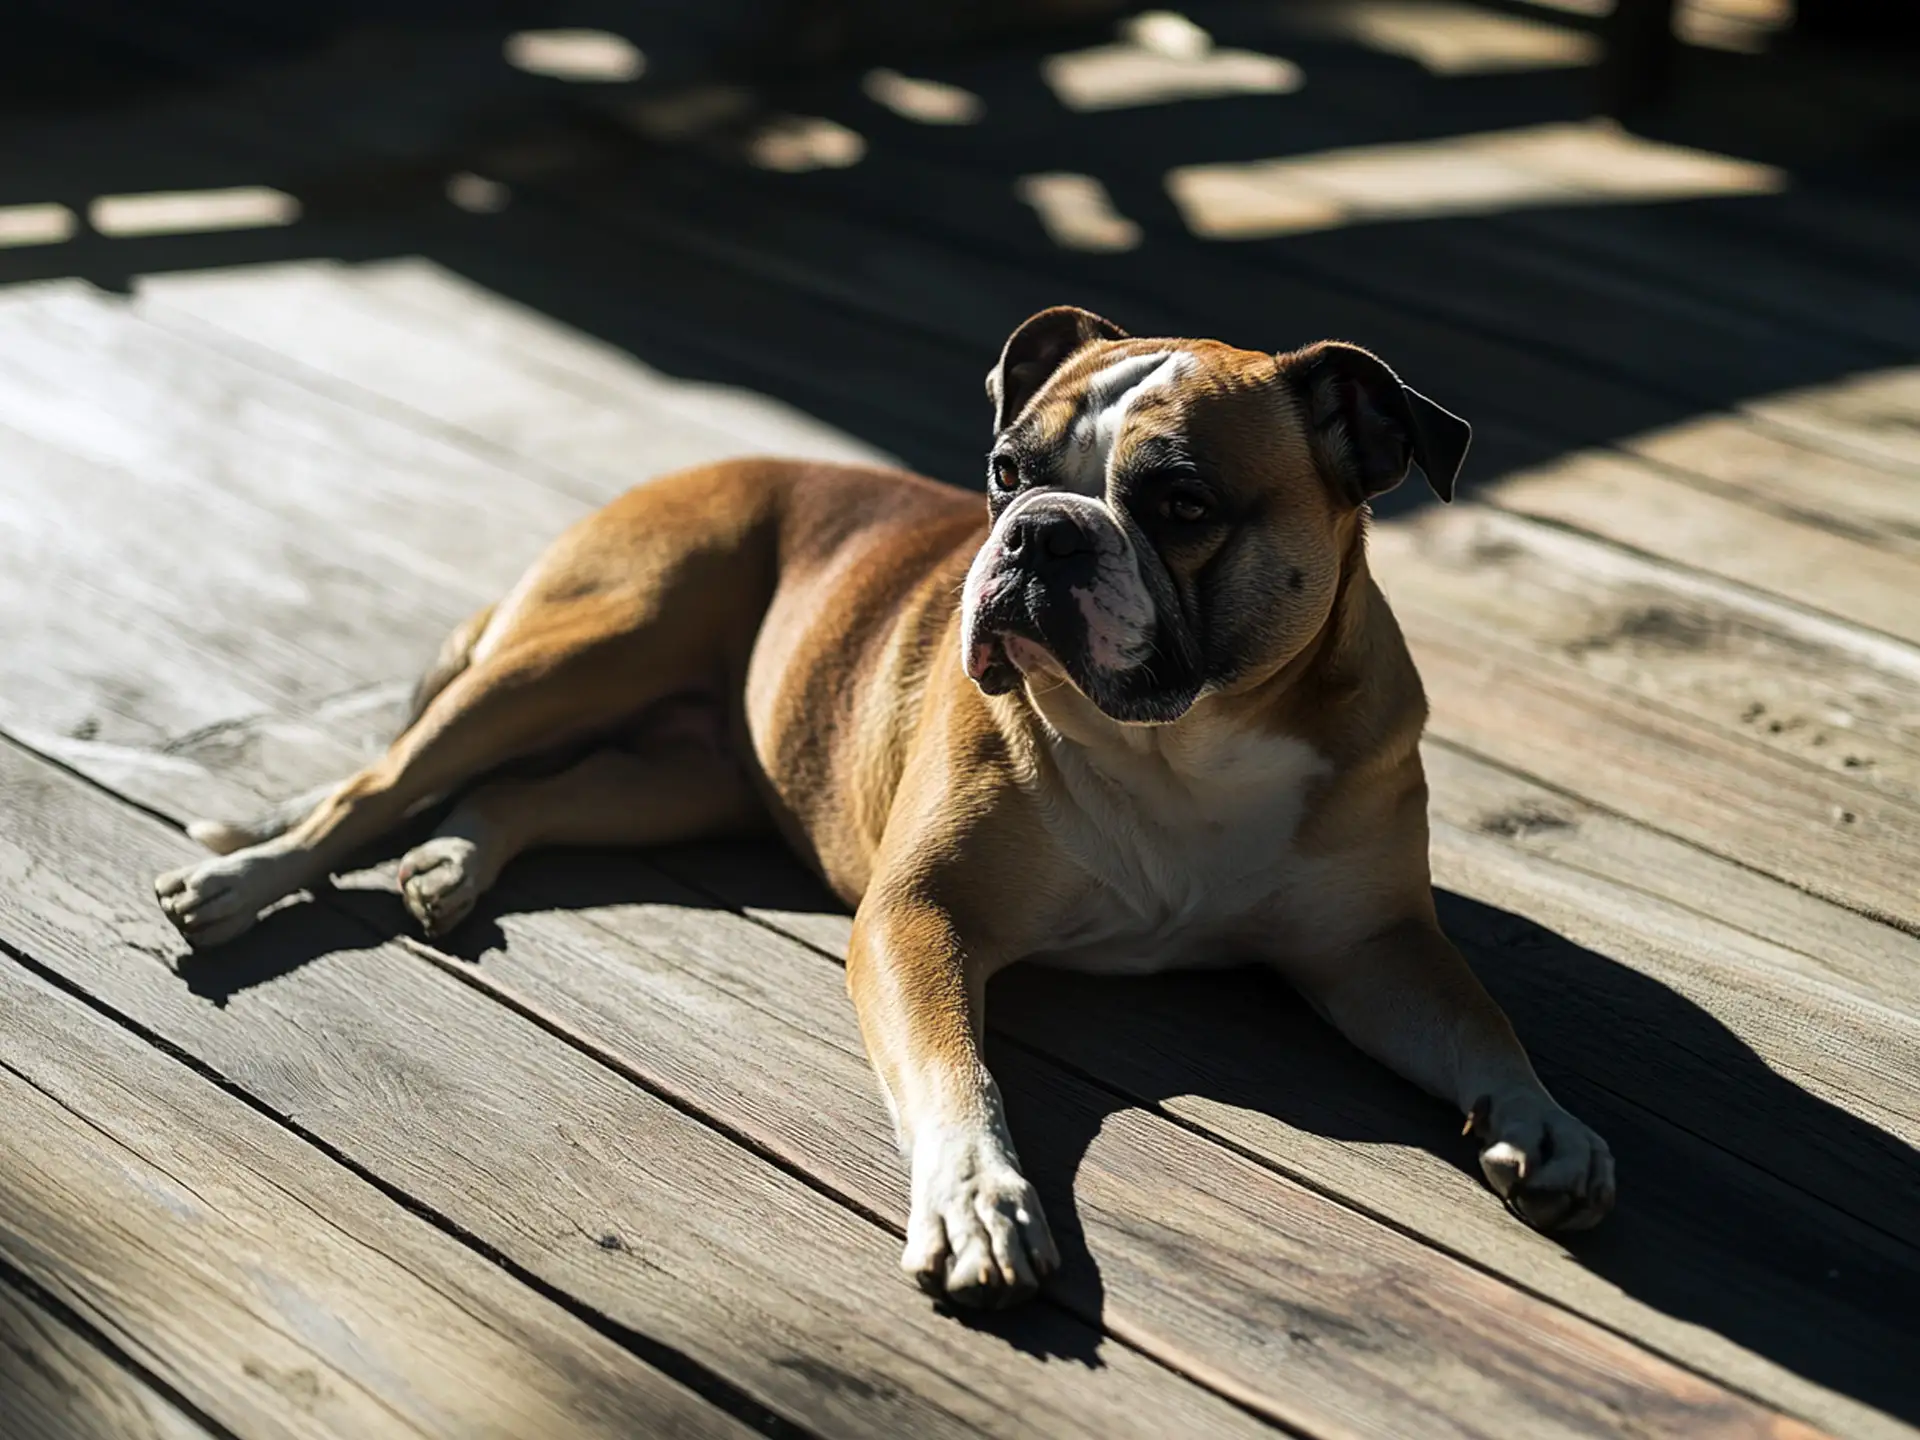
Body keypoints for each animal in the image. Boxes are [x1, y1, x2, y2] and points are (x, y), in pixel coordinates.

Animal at [157, 307, 1612, 1305]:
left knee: (520, 789)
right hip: (588, 642)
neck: (1185, 742)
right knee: (378, 783)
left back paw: (454, 862)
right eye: (1008, 471)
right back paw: (234, 884)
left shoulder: (1374, 950)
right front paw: (976, 1201)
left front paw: (1547, 1125)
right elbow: (954, 1070)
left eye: (1181, 501)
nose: (1040, 535)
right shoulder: (921, 920)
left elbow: (1480, 1022)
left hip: (676, 777)